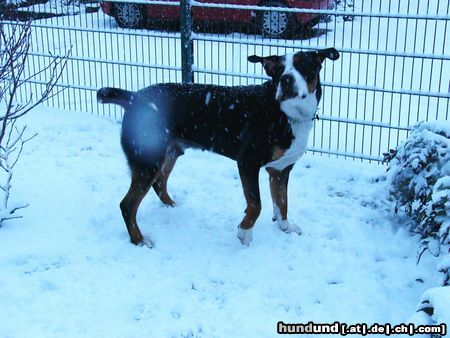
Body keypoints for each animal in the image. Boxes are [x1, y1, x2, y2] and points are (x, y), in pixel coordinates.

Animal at [97, 46, 338, 246]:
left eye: (303, 64)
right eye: (278, 70)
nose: (286, 80)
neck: (286, 114)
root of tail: (134, 97)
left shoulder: (280, 170)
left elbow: (282, 203)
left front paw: (285, 227)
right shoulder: (248, 163)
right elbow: (256, 205)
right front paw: (244, 232)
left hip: (169, 153)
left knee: (159, 184)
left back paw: (172, 206)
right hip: (148, 159)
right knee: (128, 205)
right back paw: (139, 240)